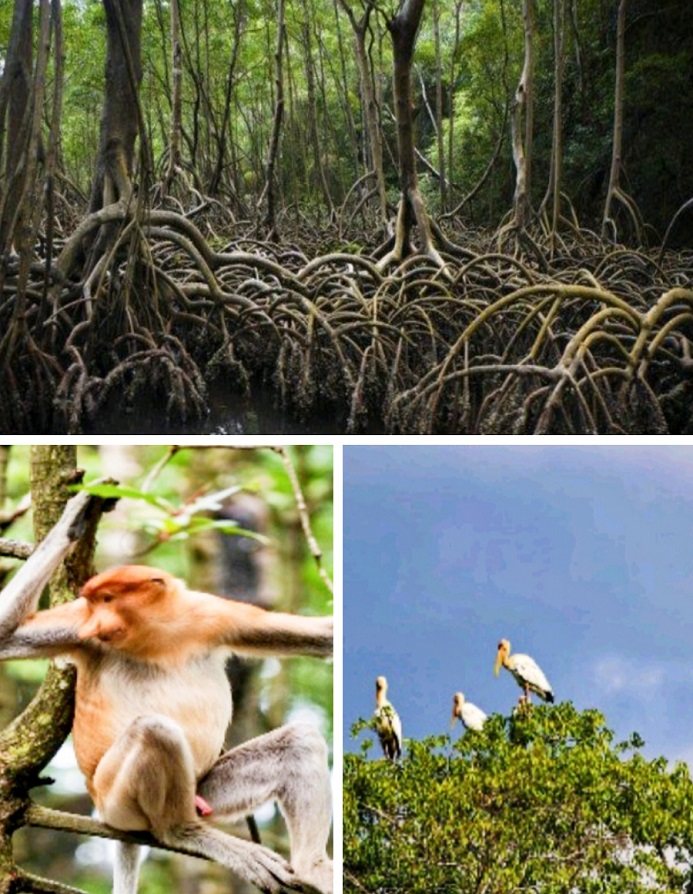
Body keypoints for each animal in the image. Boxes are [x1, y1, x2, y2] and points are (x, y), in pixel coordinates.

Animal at [0, 496, 332, 894]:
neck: (157, 634)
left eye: (108, 598)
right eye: (93, 603)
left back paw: (311, 868)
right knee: (155, 731)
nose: (96, 623)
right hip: (114, 799)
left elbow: (324, 638)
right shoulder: (78, 624)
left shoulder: (215, 614)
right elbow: (7, 638)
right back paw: (183, 832)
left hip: (204, 789)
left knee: (299, 741)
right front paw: (73, 518)